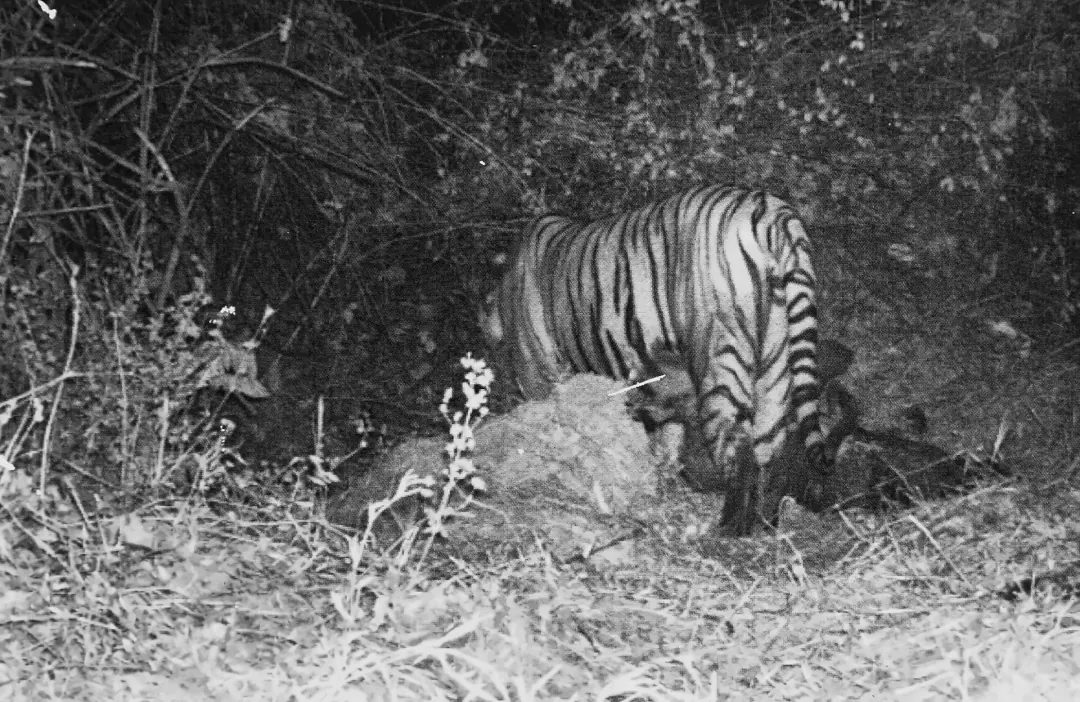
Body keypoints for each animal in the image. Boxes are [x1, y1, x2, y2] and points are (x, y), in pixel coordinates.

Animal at [482, 185, 829, 536]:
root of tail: (774, 213)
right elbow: (668, 440)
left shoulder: (539, 374)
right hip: (776, 365)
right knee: (771, 452)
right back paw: (764, 529)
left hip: (721, 357)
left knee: (739, 446)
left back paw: (729, 530)